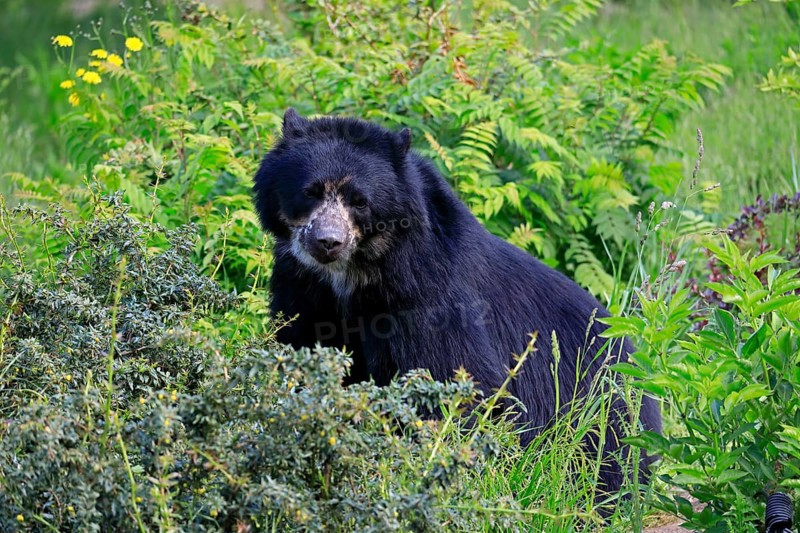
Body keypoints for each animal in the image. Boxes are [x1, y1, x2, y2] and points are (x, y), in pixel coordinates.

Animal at [253, 108, 661, 497]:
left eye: (360, 202)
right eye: (310, 192)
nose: (327, 242)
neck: (354, 273)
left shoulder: (428, 294)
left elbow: (456, 380)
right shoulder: (304, 287)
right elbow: (305, 348)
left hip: (601, 414)